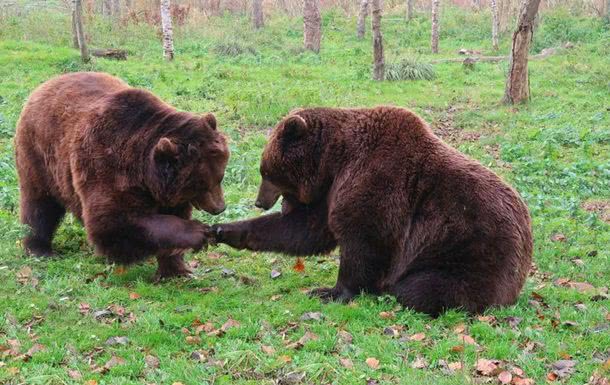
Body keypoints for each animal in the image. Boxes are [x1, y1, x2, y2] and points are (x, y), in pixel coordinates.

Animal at [14, 71, 228, 280]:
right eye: (202, 185)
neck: (145, 173)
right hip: (40, 156)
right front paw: (197, 232)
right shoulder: (108, 166)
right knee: (40, 205)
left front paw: (176, 270)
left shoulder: (166, 192)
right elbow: (113, 222)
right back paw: (39, 248)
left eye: (220, 177)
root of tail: (45, 84)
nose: (220, 207)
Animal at [214, 106, 532, 316]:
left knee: (423, 288)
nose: (259, 201)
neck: (334, 160)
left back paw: (395, 290)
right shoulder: (331, 191)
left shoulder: (377, 181)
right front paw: (224, 230)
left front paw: (330, 291)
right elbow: (306, 230)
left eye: (266, 171)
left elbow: (364, 240)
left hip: (470, 253)